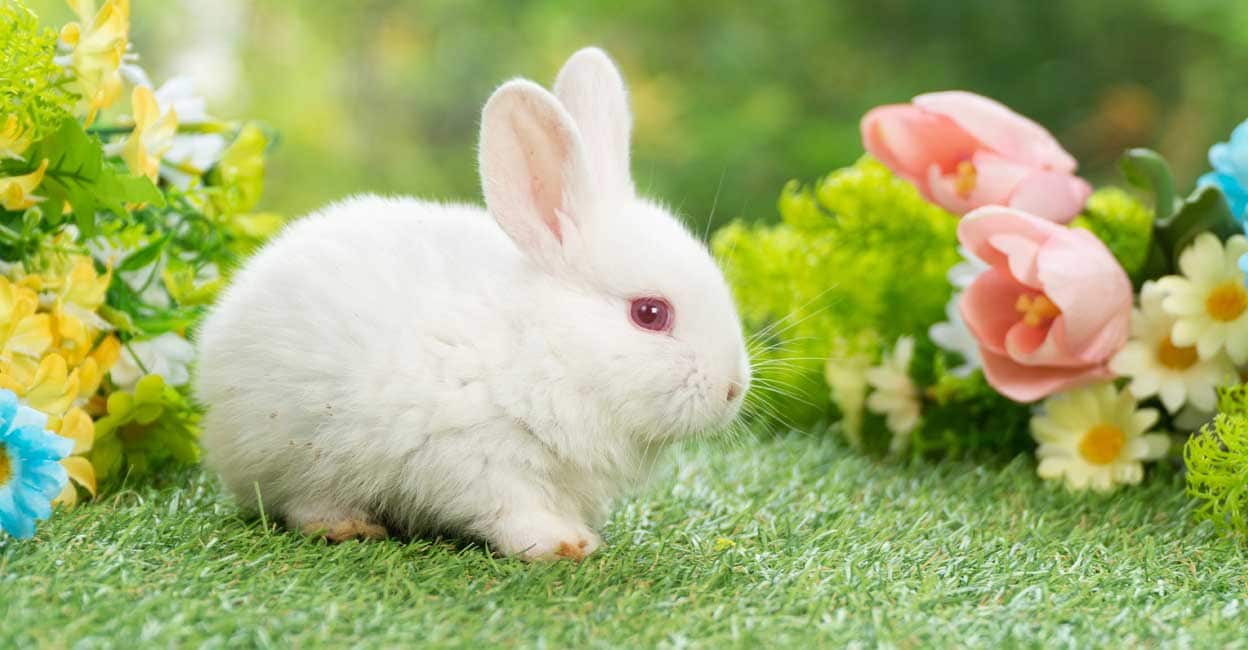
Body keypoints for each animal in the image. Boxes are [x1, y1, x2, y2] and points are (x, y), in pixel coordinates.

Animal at [195, 48, 750, 561]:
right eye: (650, 314)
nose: (732, 390)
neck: (545, 347)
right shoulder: (482, 458)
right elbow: (514, 510)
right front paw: (565, 545)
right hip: (304, 447)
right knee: (303, 501)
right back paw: (349, 527)